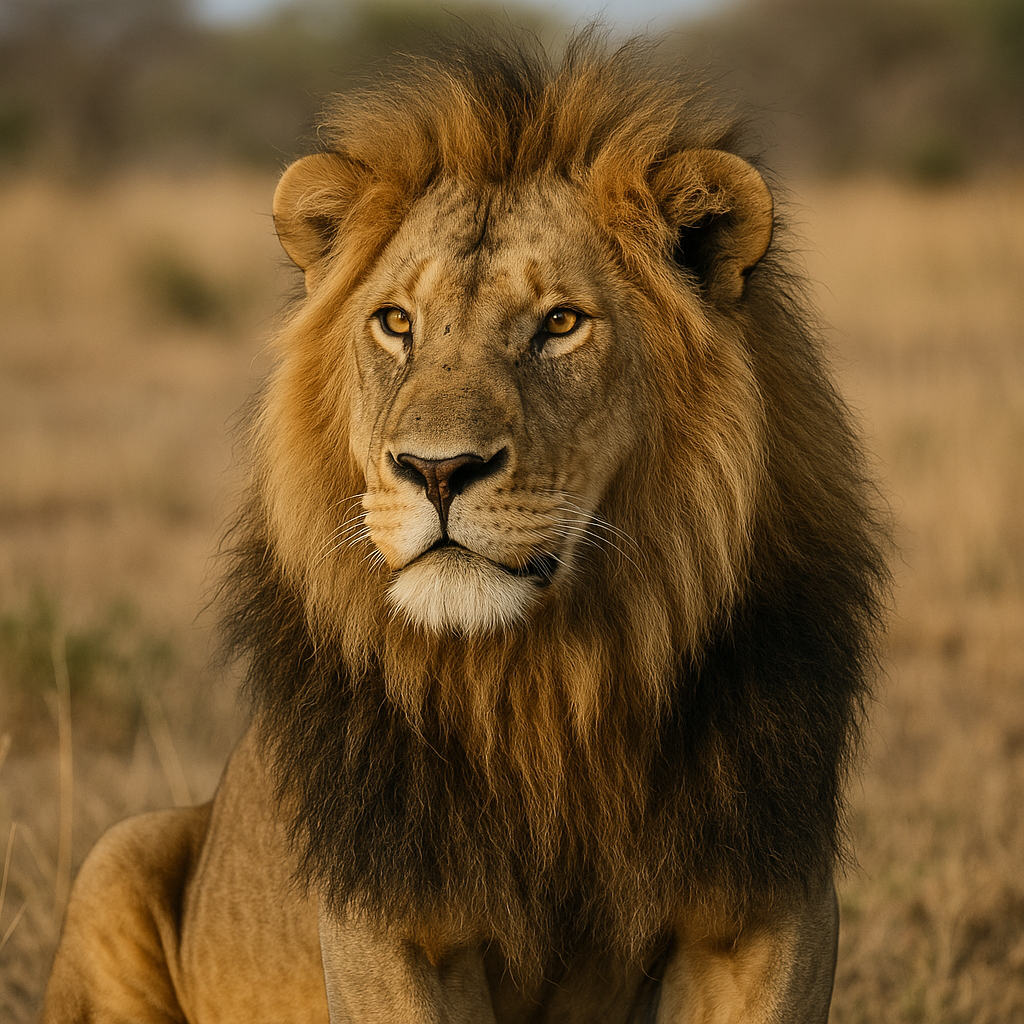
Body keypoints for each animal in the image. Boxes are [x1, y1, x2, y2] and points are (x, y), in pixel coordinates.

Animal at [39, 34, 888, 1024]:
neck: (546, 681)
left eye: (560, 323)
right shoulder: (393, 916)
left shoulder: (764, 903)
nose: (437, 471)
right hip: (117, 854)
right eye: (395, 323)